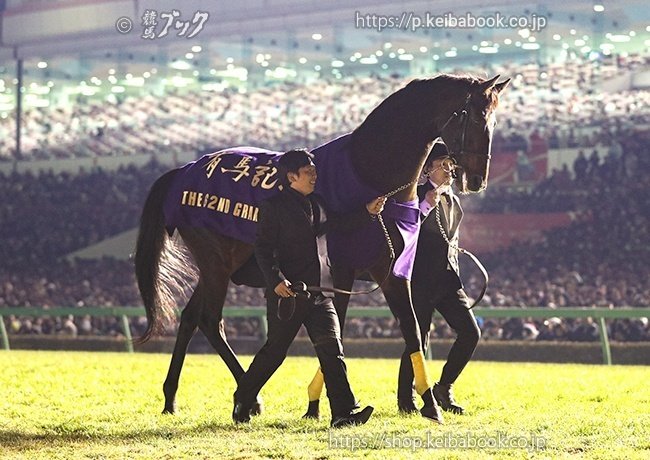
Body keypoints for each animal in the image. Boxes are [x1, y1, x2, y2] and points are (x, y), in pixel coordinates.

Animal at [134, 74, 508, 416]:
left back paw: (173, 397)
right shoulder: (355, 269)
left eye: (494, 119)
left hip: (220, 266)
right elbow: (357, 327)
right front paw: (328, 403)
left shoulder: (392, 271)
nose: (476, 179)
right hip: (216, 262)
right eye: (474, 117)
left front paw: (421, 403)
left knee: (191, 317)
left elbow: (407, 330)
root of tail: (184, 170)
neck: (371, 175)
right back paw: (247, 397)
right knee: (211, 320)